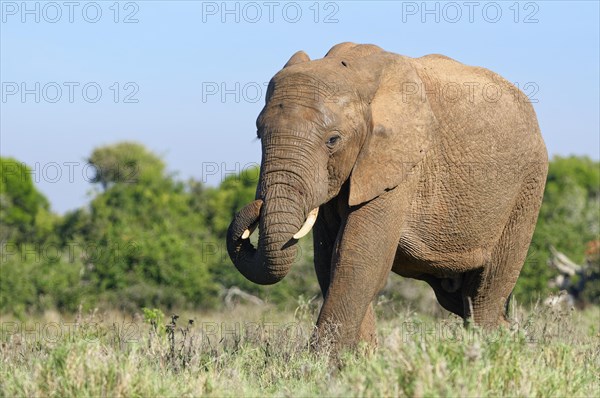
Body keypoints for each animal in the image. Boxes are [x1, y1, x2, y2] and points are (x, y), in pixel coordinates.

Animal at [225, 42, 548, 348]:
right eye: (259, 134)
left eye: (333, 140)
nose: (253, 209)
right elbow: (329, 261)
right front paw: (357, 362)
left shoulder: (399, 165)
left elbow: (358, 260)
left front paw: (321, 366)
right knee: (458, 297)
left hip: (527, 187)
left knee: (485, 292)